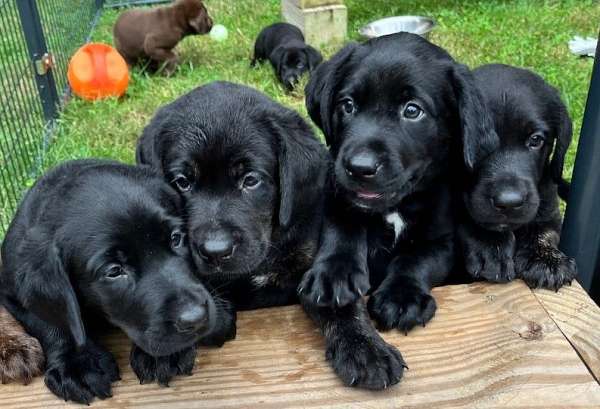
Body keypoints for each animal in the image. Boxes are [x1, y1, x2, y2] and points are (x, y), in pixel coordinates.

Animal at [0, 159, 231, 402]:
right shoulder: (11, 290)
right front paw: (77, 363)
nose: (196, 318)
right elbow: (49, 320)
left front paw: (167, 355)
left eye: (176, 238)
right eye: (114, 271)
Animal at [298, 33, 500, 388]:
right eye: (347, 105)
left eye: (412, 111)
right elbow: (341, 233)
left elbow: (416, 258)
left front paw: (402, 296)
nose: (359, 167)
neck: (394, 208)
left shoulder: (442, 241)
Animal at [458, 63, 580, 288]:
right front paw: (492, 244)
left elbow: (546, 230)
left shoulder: (548, 205)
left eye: (536, 139)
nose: (509, 203)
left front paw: (546, 259)